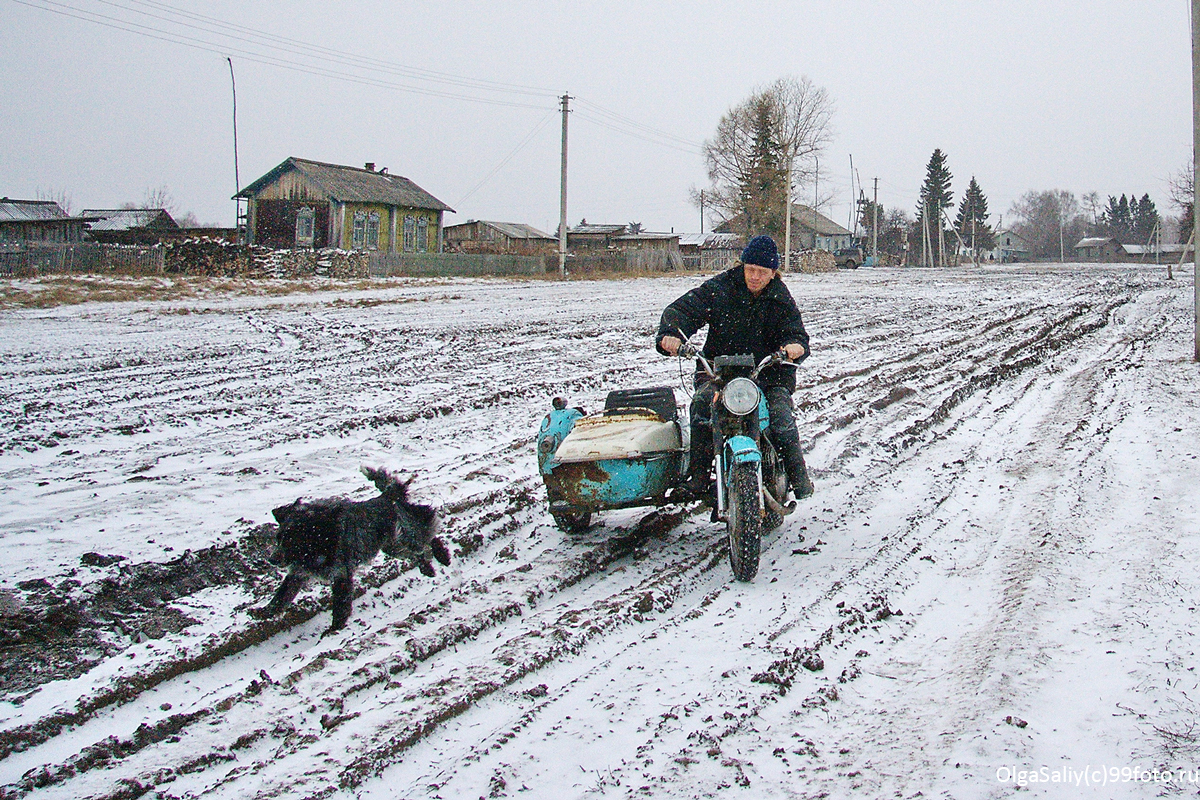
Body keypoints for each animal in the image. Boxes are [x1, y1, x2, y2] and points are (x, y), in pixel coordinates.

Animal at [258, 465, 451, 633]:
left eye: (292, 540)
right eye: (278, 538)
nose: (272, 559)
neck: (319, 537)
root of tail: (388, 496)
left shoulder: (341, 573)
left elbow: (340, 605)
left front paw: (334, 630)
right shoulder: (299, 572)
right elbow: (281, 596)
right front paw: (263, 614)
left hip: (407, 532)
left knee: (427, 533)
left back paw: (442, 556)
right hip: (393, 546)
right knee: (417, 552)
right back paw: (427, 568)